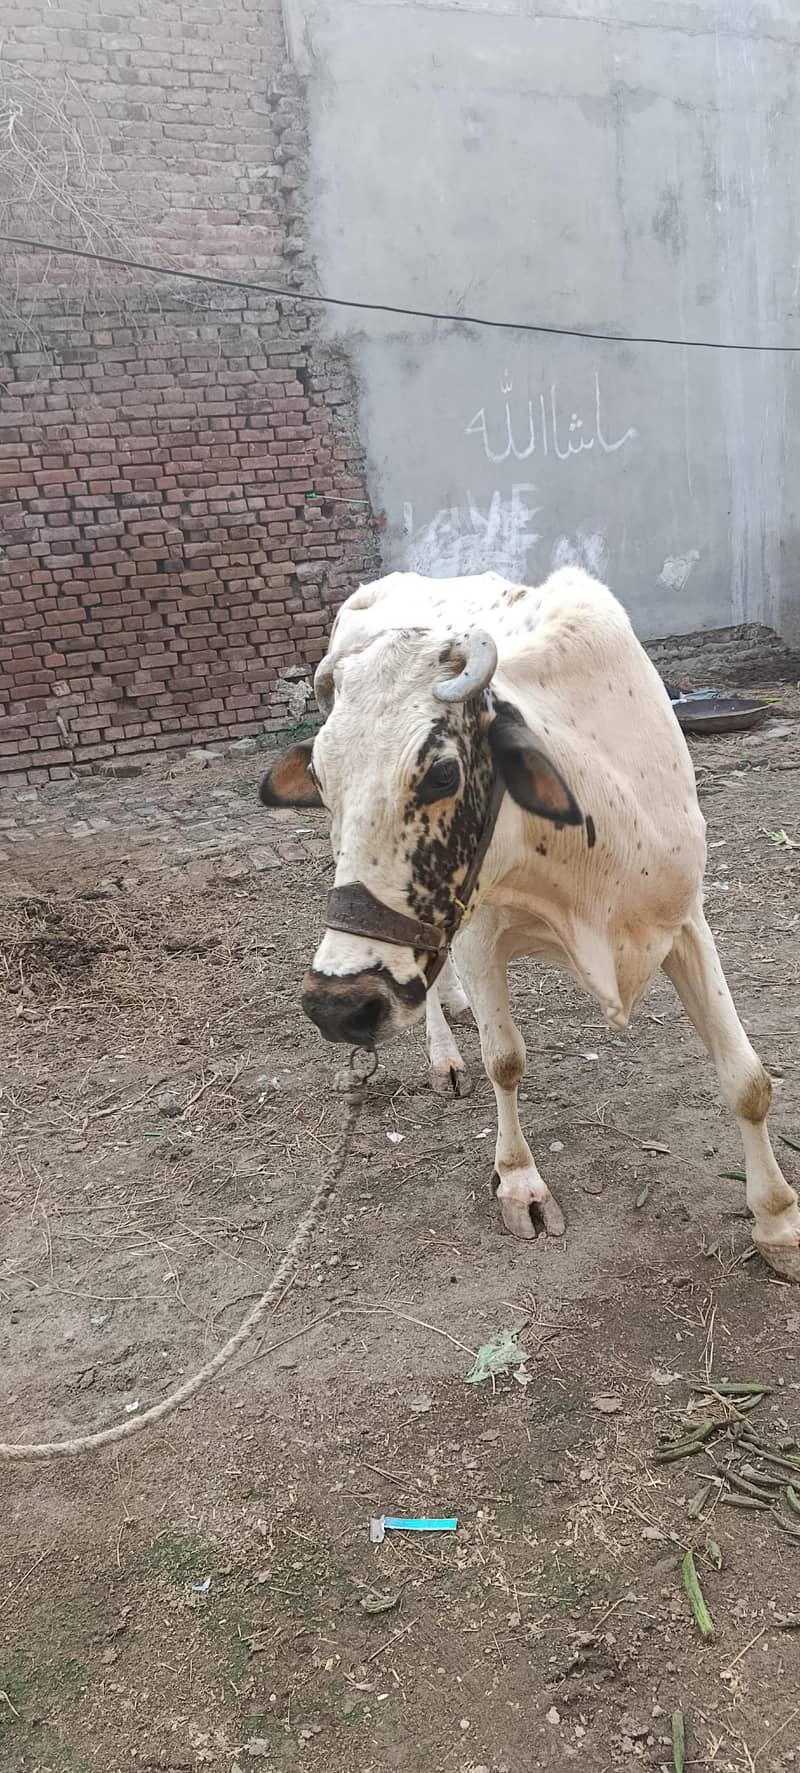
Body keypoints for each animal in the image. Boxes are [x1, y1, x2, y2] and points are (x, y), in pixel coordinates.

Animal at [260, 567, 800, 1282]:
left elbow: (748, 1080)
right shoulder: (477, 932)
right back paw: (444, 1055)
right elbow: (506, 1061)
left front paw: (779, 1222)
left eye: (442, 773)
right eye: (321, 778)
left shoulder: (685, 920)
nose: (338, 1007)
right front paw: (520, 1184)